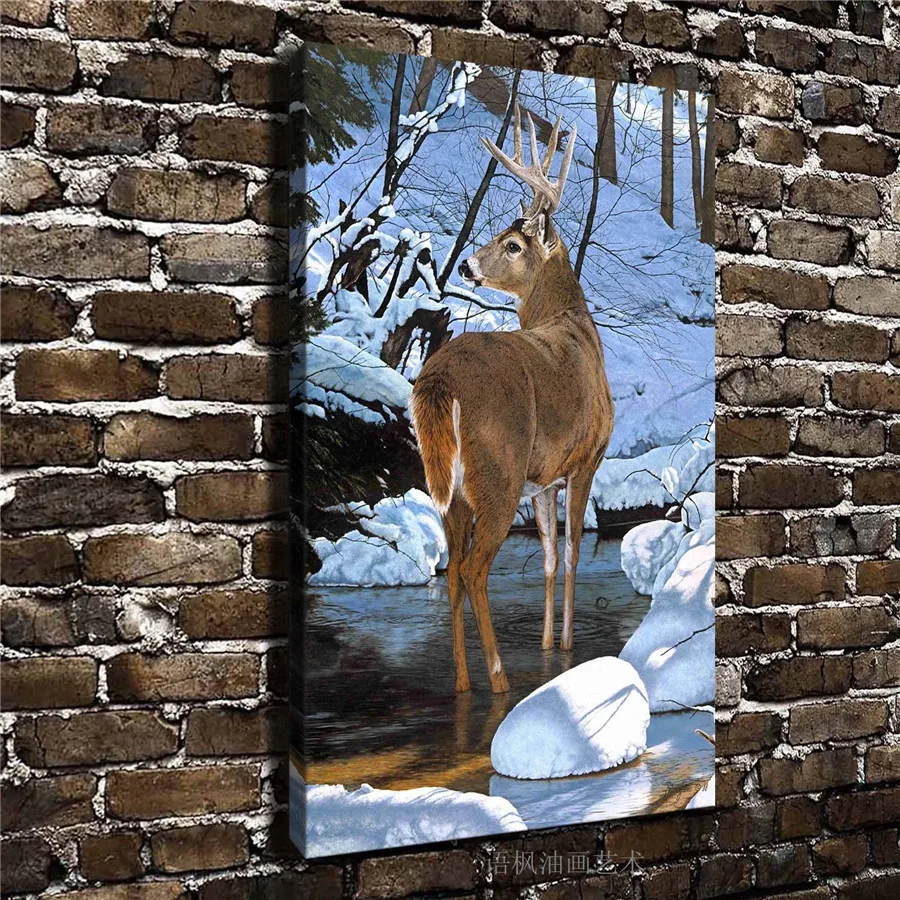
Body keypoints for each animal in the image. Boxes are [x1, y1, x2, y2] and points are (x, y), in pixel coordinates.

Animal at [411, 105, 614, 694]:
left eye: (513, 244)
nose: (466, 266)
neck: (572, 322)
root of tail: (439, 378)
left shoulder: (544, 478)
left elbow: (549, 555)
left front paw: (549, 643)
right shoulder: (587, 457)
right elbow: (571, 552)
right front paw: (566, 645)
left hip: (449, 484)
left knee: (454, 571)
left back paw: (462, 681)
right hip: (496, 472)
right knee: (474, 569)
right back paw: (499, 677)